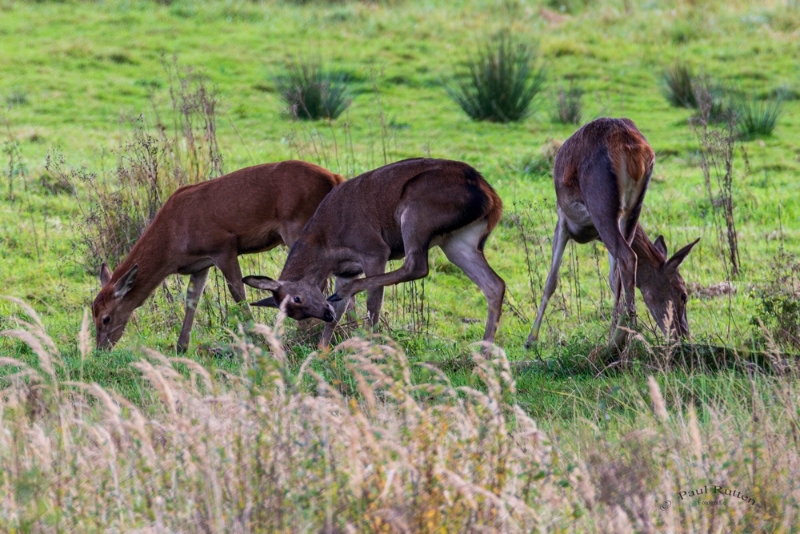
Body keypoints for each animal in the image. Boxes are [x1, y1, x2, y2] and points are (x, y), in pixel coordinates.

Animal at [94, 161, 344, 354]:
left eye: (106, 318)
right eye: (93, 313)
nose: (100, 349)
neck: (174, 243)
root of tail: (335, 177)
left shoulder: (223, 246)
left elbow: (238, 294)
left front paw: (256, 339)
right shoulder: (199, 264)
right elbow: (192, 300)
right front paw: (181, 347)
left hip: (298, 227)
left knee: (317, 279)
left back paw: (310, 333)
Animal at [239, 157, 506, 350]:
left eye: (297, 298)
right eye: (294, 313)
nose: (325, 314)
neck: (325, 245)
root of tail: (492, 198)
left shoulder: (374, 250)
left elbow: (373, 302)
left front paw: (368, 344)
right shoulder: (346, 271)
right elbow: (342, 311)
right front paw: (322, 351)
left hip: (417, 210)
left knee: (416, 266)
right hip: (460, 241)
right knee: (494, 284)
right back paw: (483, 354)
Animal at [520, 119, 696, 350]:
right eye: (684, 294)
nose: (683, 336)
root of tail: (632, 147)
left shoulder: (563, 220)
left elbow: (551, 280)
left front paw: (530, 339)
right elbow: (613, 280)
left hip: (601, 203)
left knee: (628, 257)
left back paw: (623, 337)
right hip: (632, 209)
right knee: (624, 264)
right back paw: (619, 334)